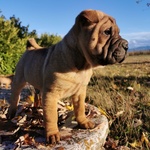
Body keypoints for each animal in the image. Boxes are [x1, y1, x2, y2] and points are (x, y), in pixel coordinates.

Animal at [7, 9, 128, 143]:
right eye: (107, 32)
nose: (126, 46)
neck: (82, 64)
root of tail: (29, 49)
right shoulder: (51, 94)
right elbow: (51, 116)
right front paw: (53, 134)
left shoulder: (80, 92)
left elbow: (80, 109)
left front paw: (83, 122)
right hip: (19, 80)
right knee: (15, 96)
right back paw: (11, 113)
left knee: (36, 94)